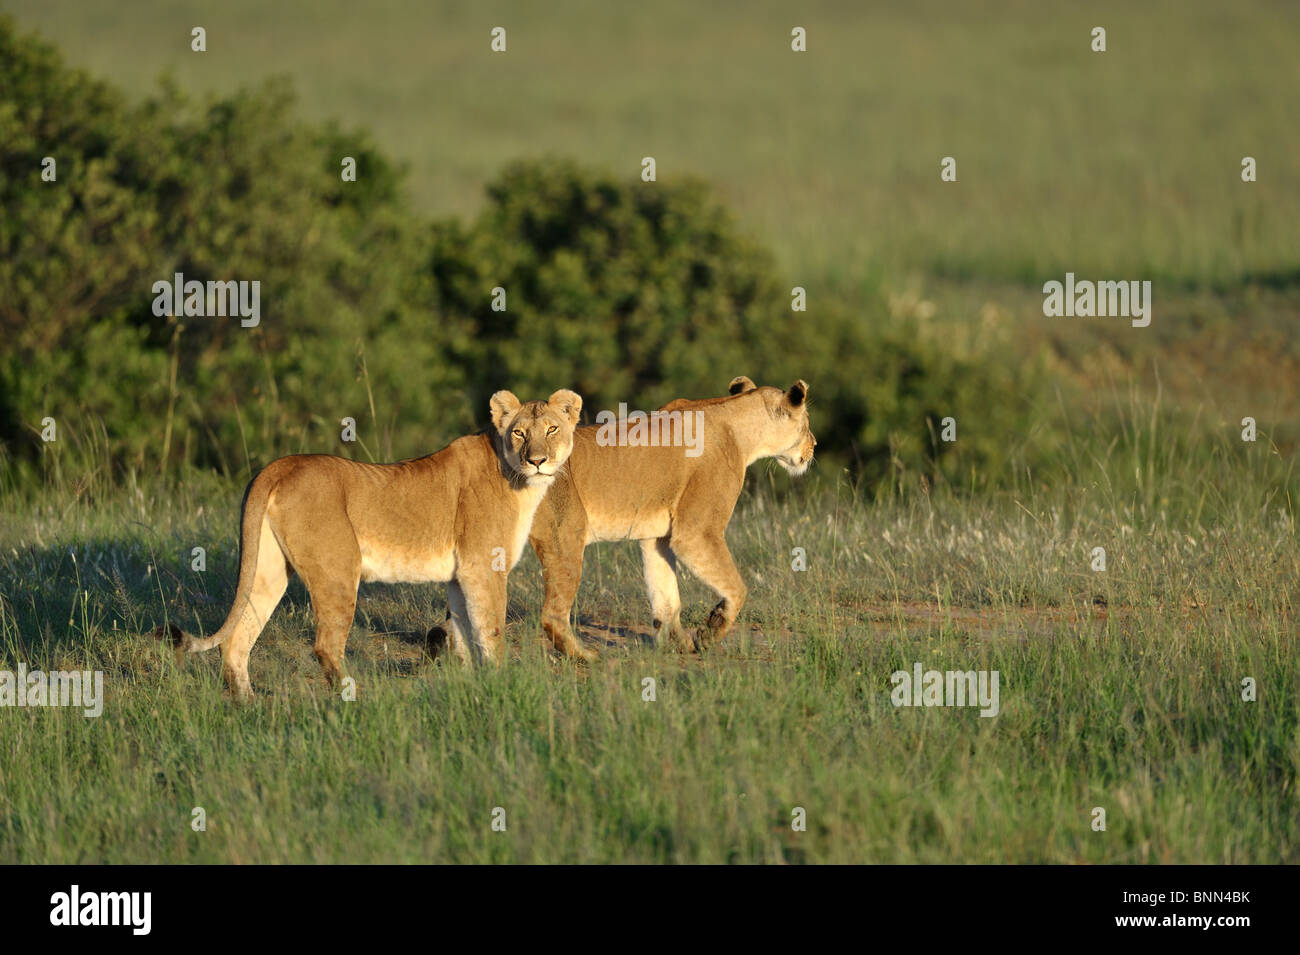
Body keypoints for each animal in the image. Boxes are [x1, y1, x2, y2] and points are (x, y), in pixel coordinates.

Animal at [155, 389, 583, 699]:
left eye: (552, 430)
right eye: (519, 433)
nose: (538, 460)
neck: (521, 482)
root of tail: (281, 464)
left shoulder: (460, 575)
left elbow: (463, 631)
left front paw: (467, 684)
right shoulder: (483, 566)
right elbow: (490, 630)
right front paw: (501, 683)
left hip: (268, 569)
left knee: (237, 639)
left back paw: (249, 706)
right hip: (338, 569)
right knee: (325, 645)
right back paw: (353, 700)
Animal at [526, 376, 815, 657]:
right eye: (807, 420)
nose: (814, 445)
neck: (741, 429)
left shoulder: (657, 536)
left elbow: (666, 595)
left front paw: (678, 644)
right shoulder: (696, 533)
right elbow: (737, 588)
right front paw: (710, 631)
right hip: (565, 536)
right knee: (552, 614)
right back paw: (585, 656)